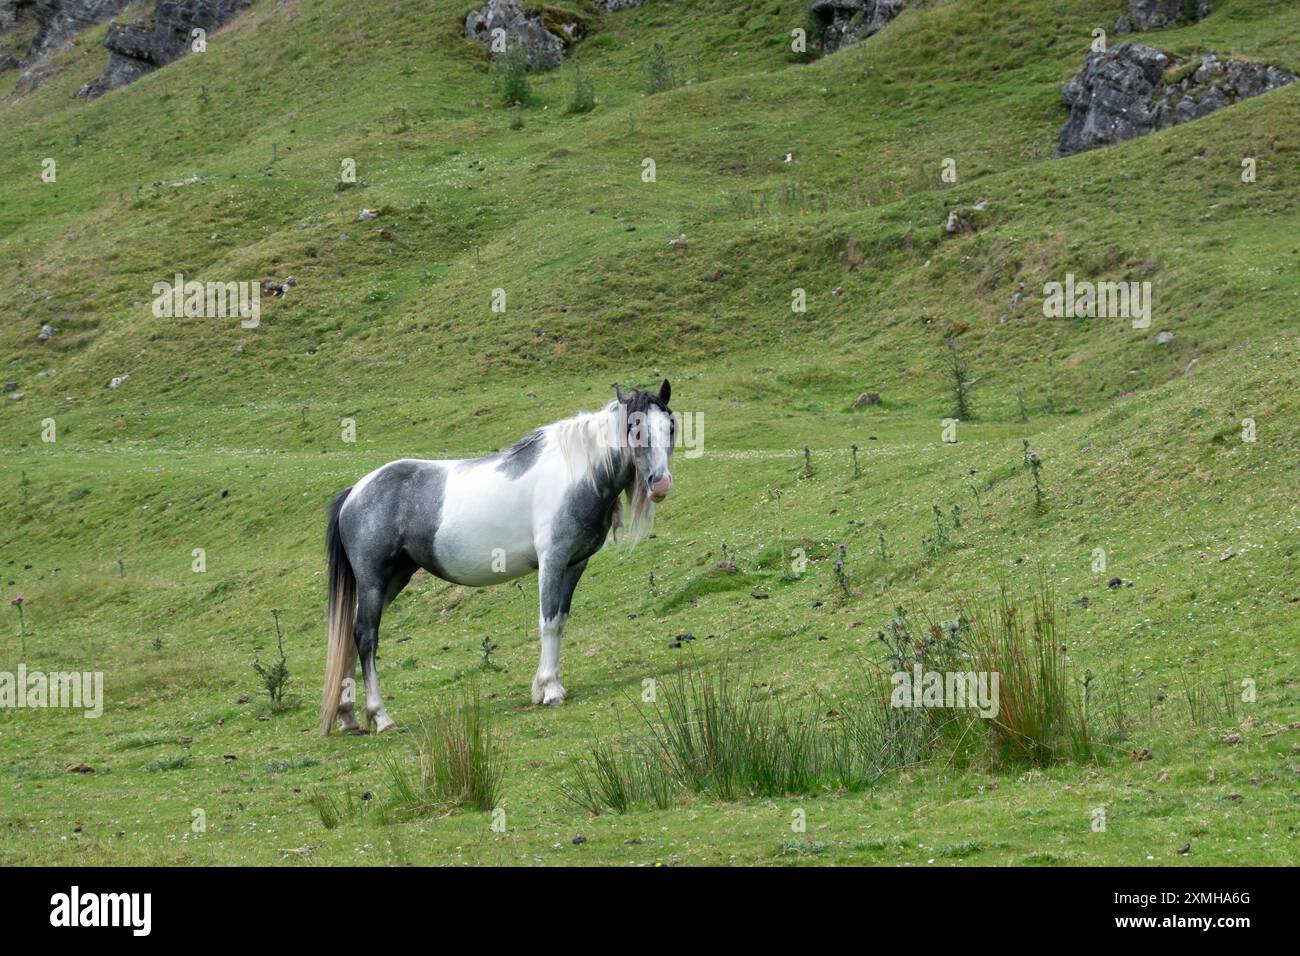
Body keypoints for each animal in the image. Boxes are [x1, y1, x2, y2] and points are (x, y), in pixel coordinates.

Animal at [319, 382, 676, 733]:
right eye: (634, 429)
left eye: (670, 426)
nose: (660, 484)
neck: (575, 473)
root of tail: (355, 492)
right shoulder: (552, 561)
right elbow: (548, 622)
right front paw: (550, 690)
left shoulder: (575, 564)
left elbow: (560, 622)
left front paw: (545, 686)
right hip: (373, 581)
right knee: (366, 637)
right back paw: (380, 716)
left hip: (394, 579)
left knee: (350, 636)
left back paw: (348, 715)